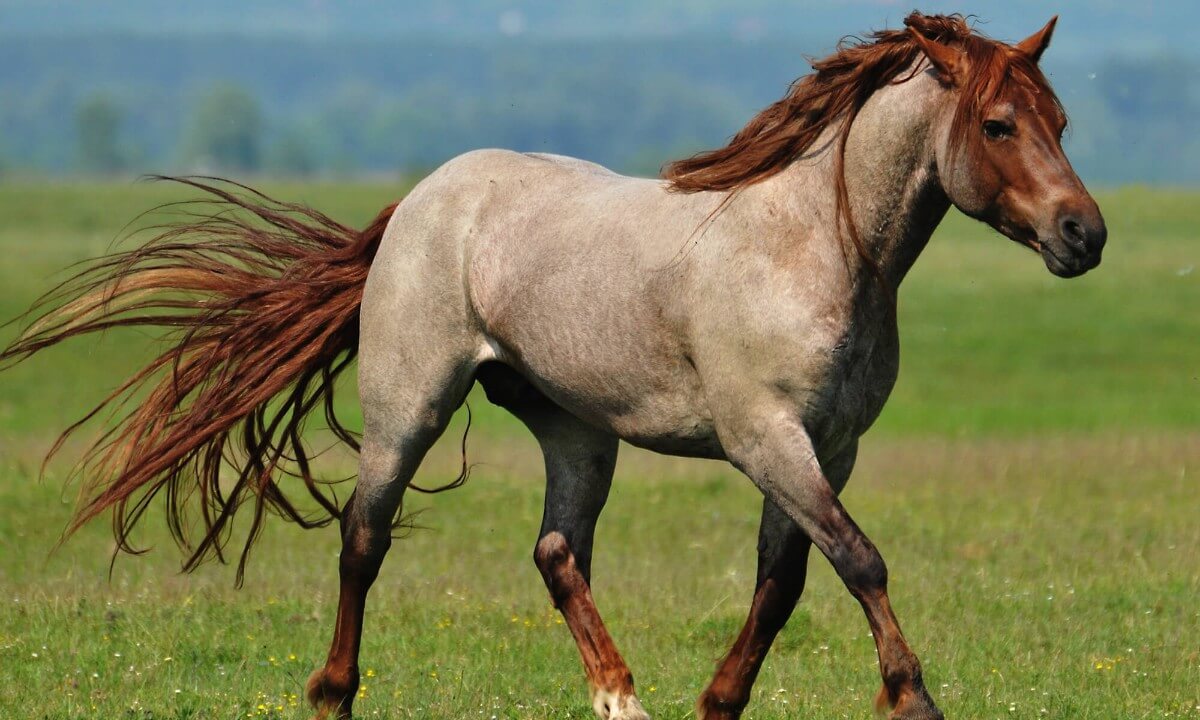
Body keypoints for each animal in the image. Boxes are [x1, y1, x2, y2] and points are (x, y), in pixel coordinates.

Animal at [0, 12, 1106, 720]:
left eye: (1061, 122)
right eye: (999, 124)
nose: (1084, 235)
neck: (812, 249)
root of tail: (421, 199)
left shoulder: (827, 449)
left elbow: (786, 578)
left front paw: (718, 702)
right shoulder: (766, 438)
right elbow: (857, 560)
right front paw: (912, 699)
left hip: (576, 428)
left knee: (557, 551)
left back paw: (622, 698)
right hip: (411, 407)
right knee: (364, 538)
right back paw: (333, 694)